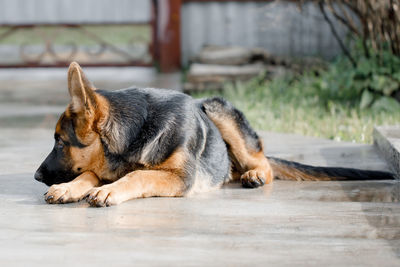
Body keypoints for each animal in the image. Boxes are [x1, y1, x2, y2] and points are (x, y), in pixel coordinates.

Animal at [33, 62, 394, 207]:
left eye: (59, 142)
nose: (36, 176)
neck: (134, 134)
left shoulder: (180, 177)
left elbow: (139, 175)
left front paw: (110, 189)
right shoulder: (104, 165)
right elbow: (90, 172)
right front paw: (69, 188)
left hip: (217, 107)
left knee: (265, 161)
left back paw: (255, 175)